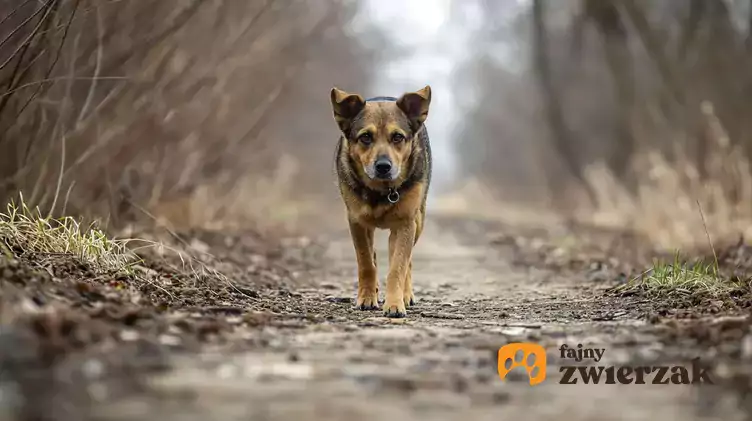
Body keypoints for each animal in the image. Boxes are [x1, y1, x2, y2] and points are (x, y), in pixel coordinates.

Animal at [330, 84, 434, 316]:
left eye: (397, 137)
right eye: (365, 137)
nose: (383, 166)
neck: (381, 191)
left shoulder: (406, 223)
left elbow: (398, 267)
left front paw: (395, 304)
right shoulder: (356, 222)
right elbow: (366, 263)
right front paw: (367, 298)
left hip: (418, 222)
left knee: (407, 261)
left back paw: (406, 295)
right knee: (374, 256)